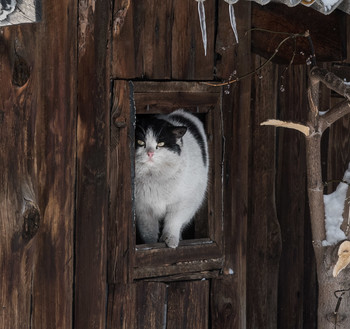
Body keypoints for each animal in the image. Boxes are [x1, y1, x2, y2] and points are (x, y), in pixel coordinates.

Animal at [135, 109, 208, 247]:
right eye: (141, 142)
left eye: (161, 143)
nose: (150, 153)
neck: (154, 178)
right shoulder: (143, 211)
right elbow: (148, 232)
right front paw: (151, 245)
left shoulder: (183, 202)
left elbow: (173, 221)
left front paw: (170, 240)